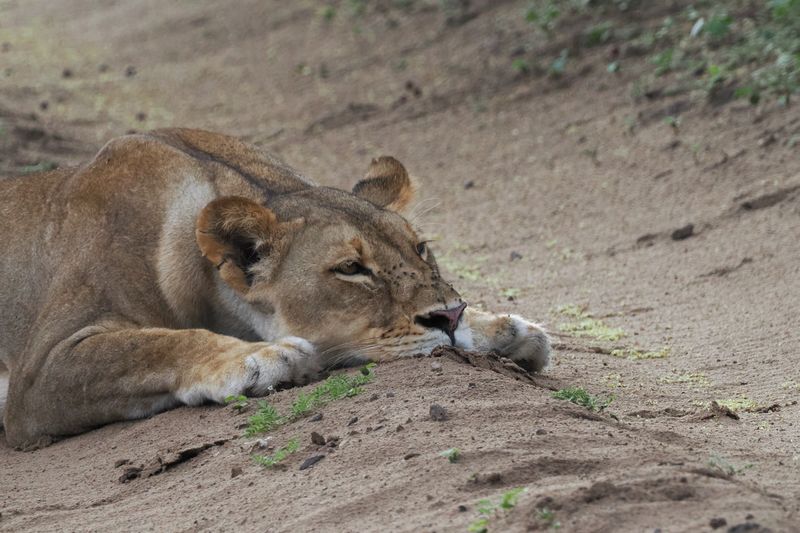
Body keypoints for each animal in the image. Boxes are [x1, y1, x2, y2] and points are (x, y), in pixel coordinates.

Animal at [0, 129, 552, 448]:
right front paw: (260, 357)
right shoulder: (37, 378)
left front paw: (502, 329)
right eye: (351, 268)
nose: (449, 318)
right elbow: (148, 346)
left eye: (420, 248)